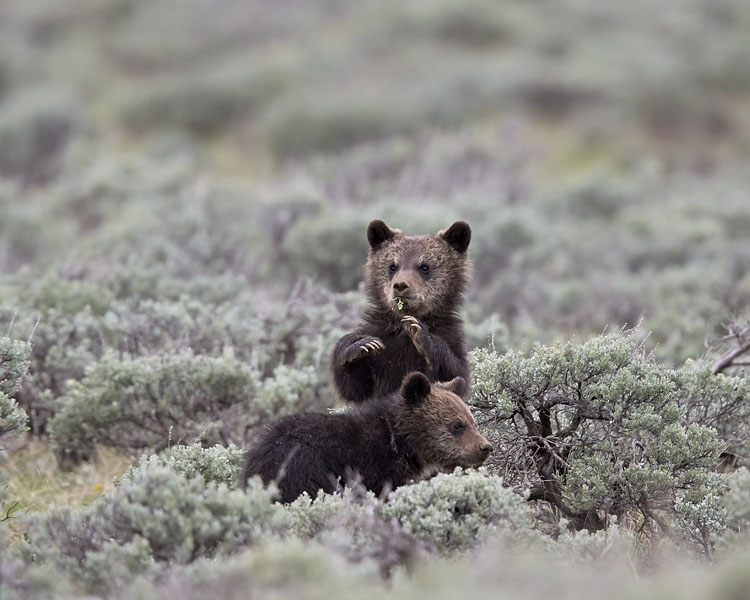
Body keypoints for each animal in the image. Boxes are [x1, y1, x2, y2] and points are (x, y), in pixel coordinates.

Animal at [240, 372, 492, 502]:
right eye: (457, 425)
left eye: (473, 421)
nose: (485, 447)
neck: (398, 441)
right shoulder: (372, 467)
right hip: (299, 468)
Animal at [331, 219, 471, 404]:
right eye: (392, 266)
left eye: (424, 266)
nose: (400, 285)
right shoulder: (382, 339)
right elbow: (356, 389)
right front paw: (358, 344)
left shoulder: (451, 335)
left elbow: (457, 374)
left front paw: (421, 335)